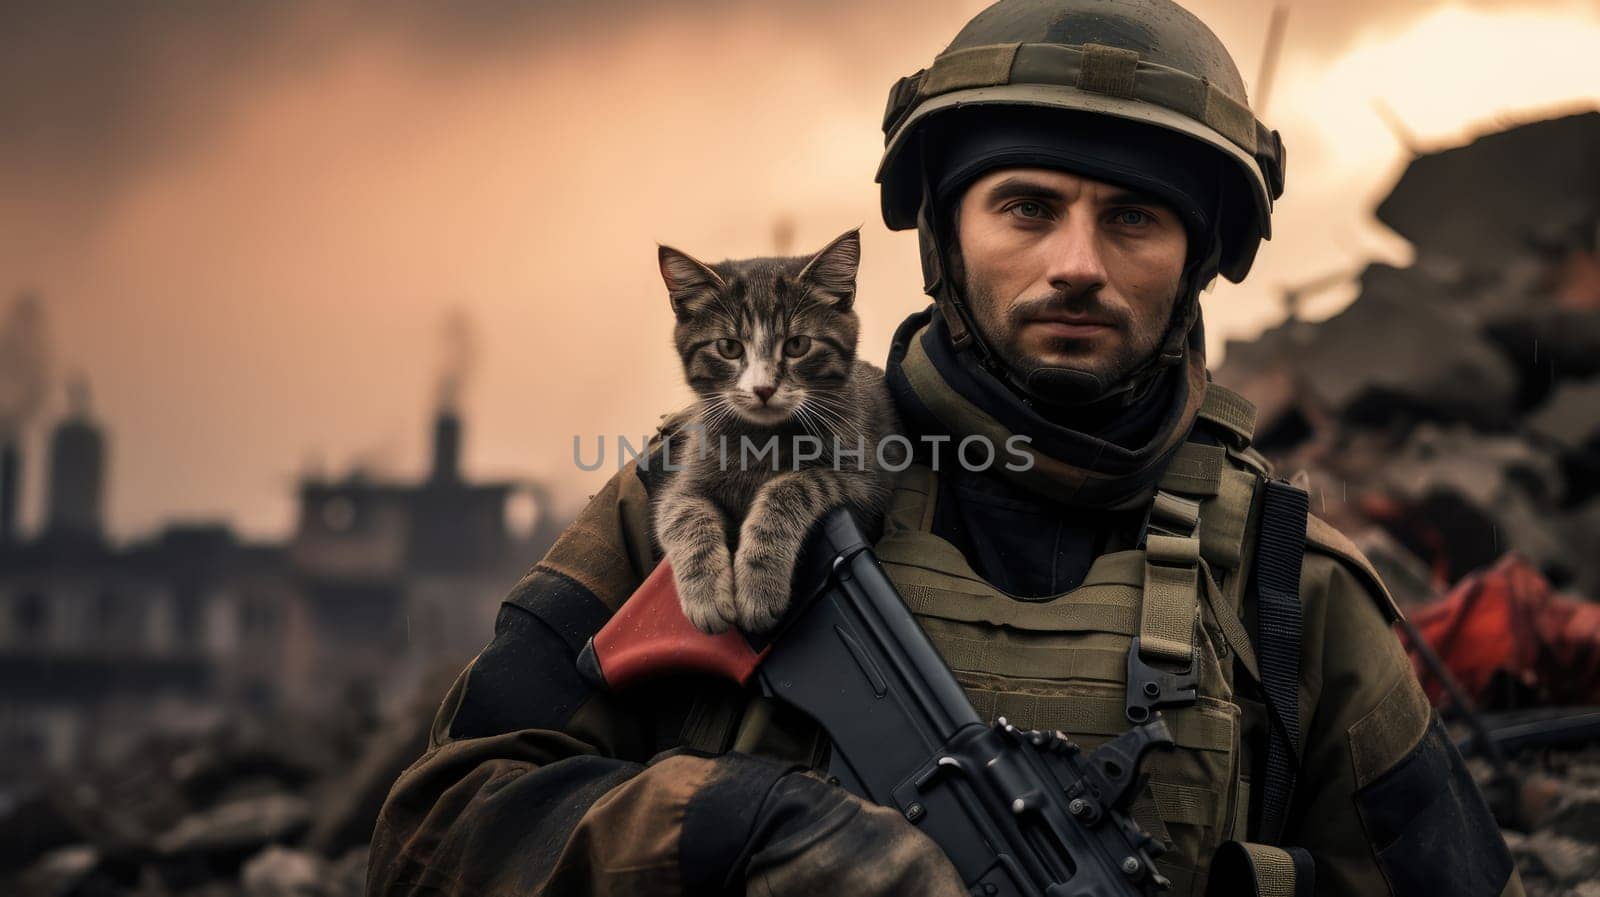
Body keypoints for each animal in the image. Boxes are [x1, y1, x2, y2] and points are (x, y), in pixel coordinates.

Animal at [649, 230, 902, 636]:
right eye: (728, 347)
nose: (763, 388)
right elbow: (681, 513)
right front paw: (706, 595)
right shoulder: (685, 483)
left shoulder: (866, 482)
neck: (761, 439)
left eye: (798, 344)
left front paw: (758, 583)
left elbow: (792, 486)